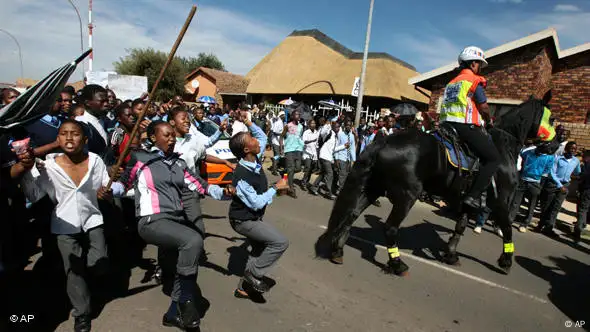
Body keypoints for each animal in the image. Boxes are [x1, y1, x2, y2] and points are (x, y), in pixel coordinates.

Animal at [320, 96, 556, 274]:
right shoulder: (500, 200)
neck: (503, 146)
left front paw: (450, 254)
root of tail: (385, 140)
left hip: (373, 188)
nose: (554, 146)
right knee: (390, 228)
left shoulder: (466, 199)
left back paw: (337, 250)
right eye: (552, 119)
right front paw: (506, 260)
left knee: (352, 214)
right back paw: (397, 264)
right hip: (408, 195)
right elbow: (507, 228)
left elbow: (460, 226)